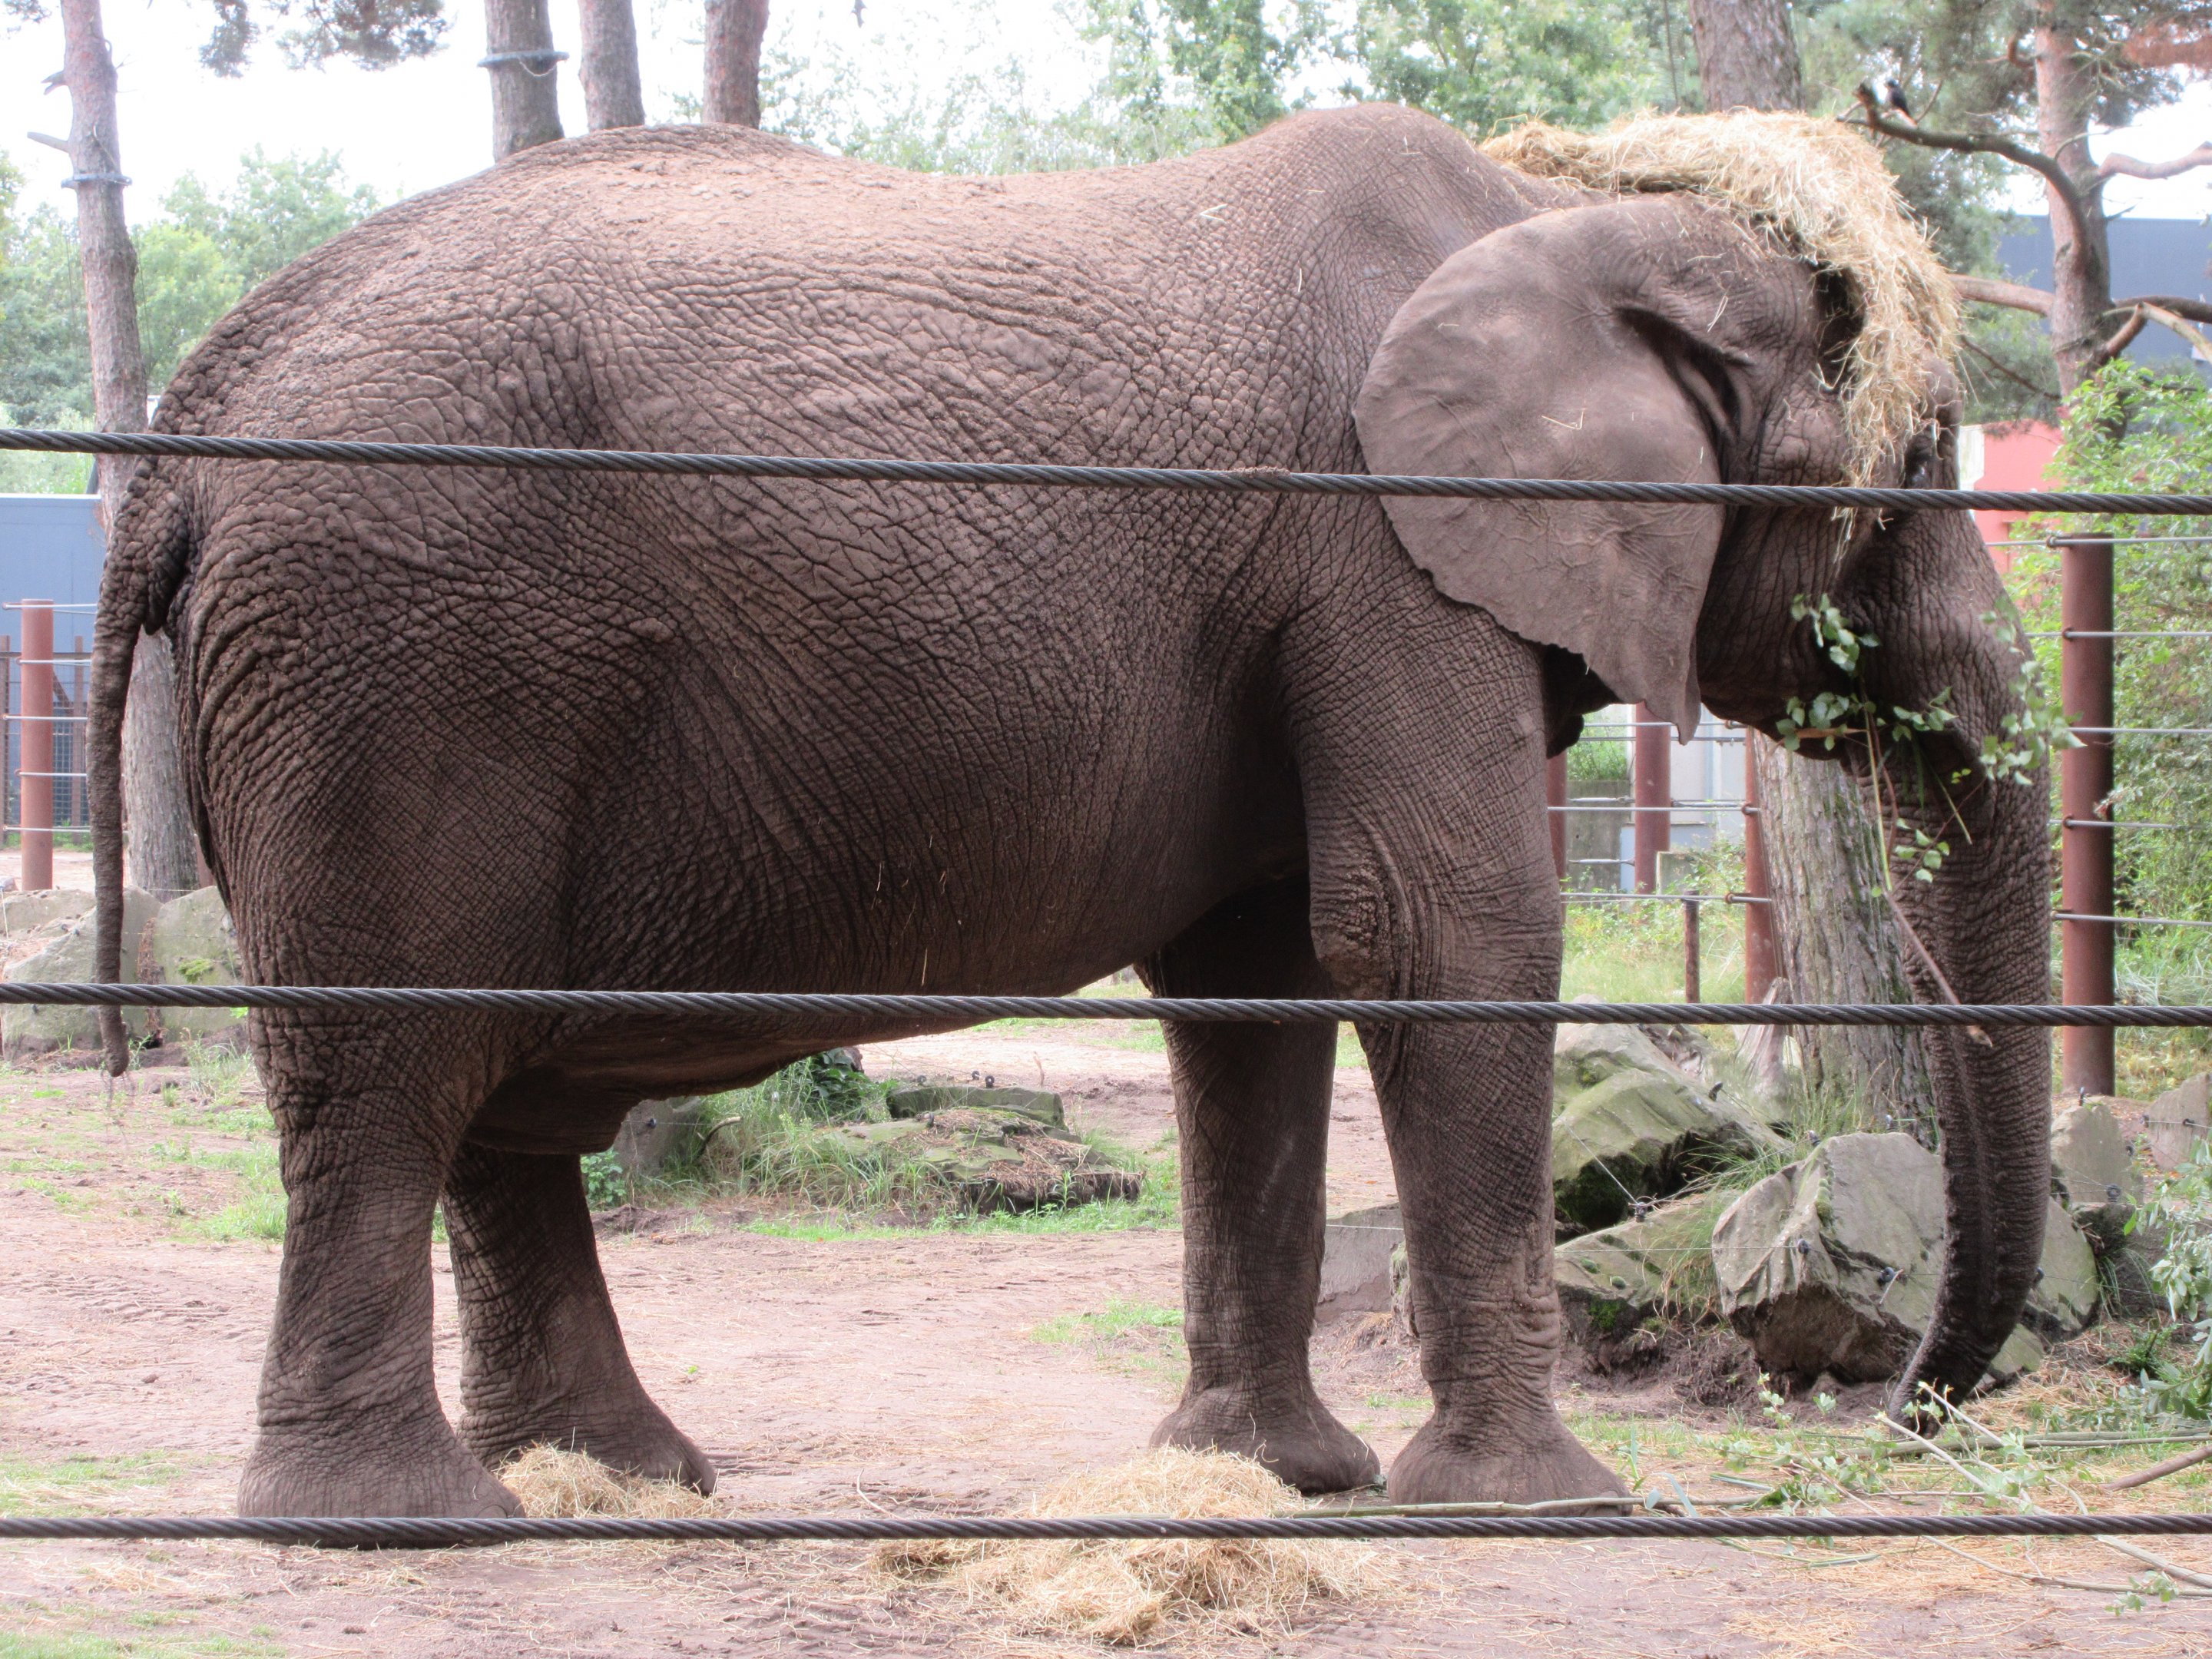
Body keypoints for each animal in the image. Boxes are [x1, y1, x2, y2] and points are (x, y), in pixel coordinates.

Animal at [90, 102, 2051, 1519]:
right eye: (1910, 465)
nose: (1902, 1413)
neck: (1556, 203)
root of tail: (186, 431)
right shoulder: (1382, 551)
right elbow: (1438, 928)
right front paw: (1540, 1507)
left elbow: (1260, 981)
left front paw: (1274, 1479)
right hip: (393, 657)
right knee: (395, 1059)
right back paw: (402, 1522)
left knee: (488, 1090)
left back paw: (615, 1477)